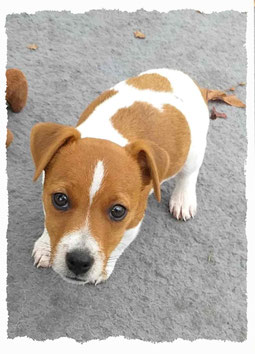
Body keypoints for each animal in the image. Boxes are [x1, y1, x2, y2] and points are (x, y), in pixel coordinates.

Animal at [30, 68, 209, 284]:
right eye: (60, 199)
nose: (79, 261)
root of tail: (182, 75)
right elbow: (49, 223)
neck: (108, 136)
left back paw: (183, 200)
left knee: (189, 174)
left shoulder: (133, 222)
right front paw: (46, 247)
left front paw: (104, 270)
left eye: (117, 211)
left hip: (194, 150)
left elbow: (119, 244)